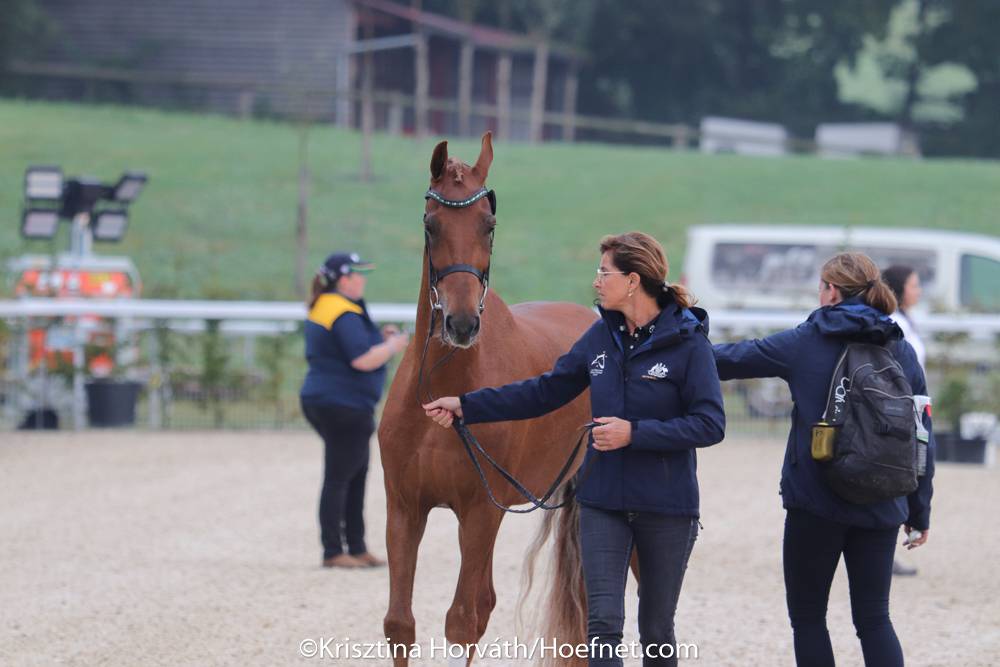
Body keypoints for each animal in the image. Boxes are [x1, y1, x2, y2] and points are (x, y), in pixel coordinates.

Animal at [376, 133, 592, 664]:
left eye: (488, 225)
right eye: (431, 223)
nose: (460, 323)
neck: (445, 392)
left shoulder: (479, 512)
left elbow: (462, 621)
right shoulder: (404, 509)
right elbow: (400, 623)